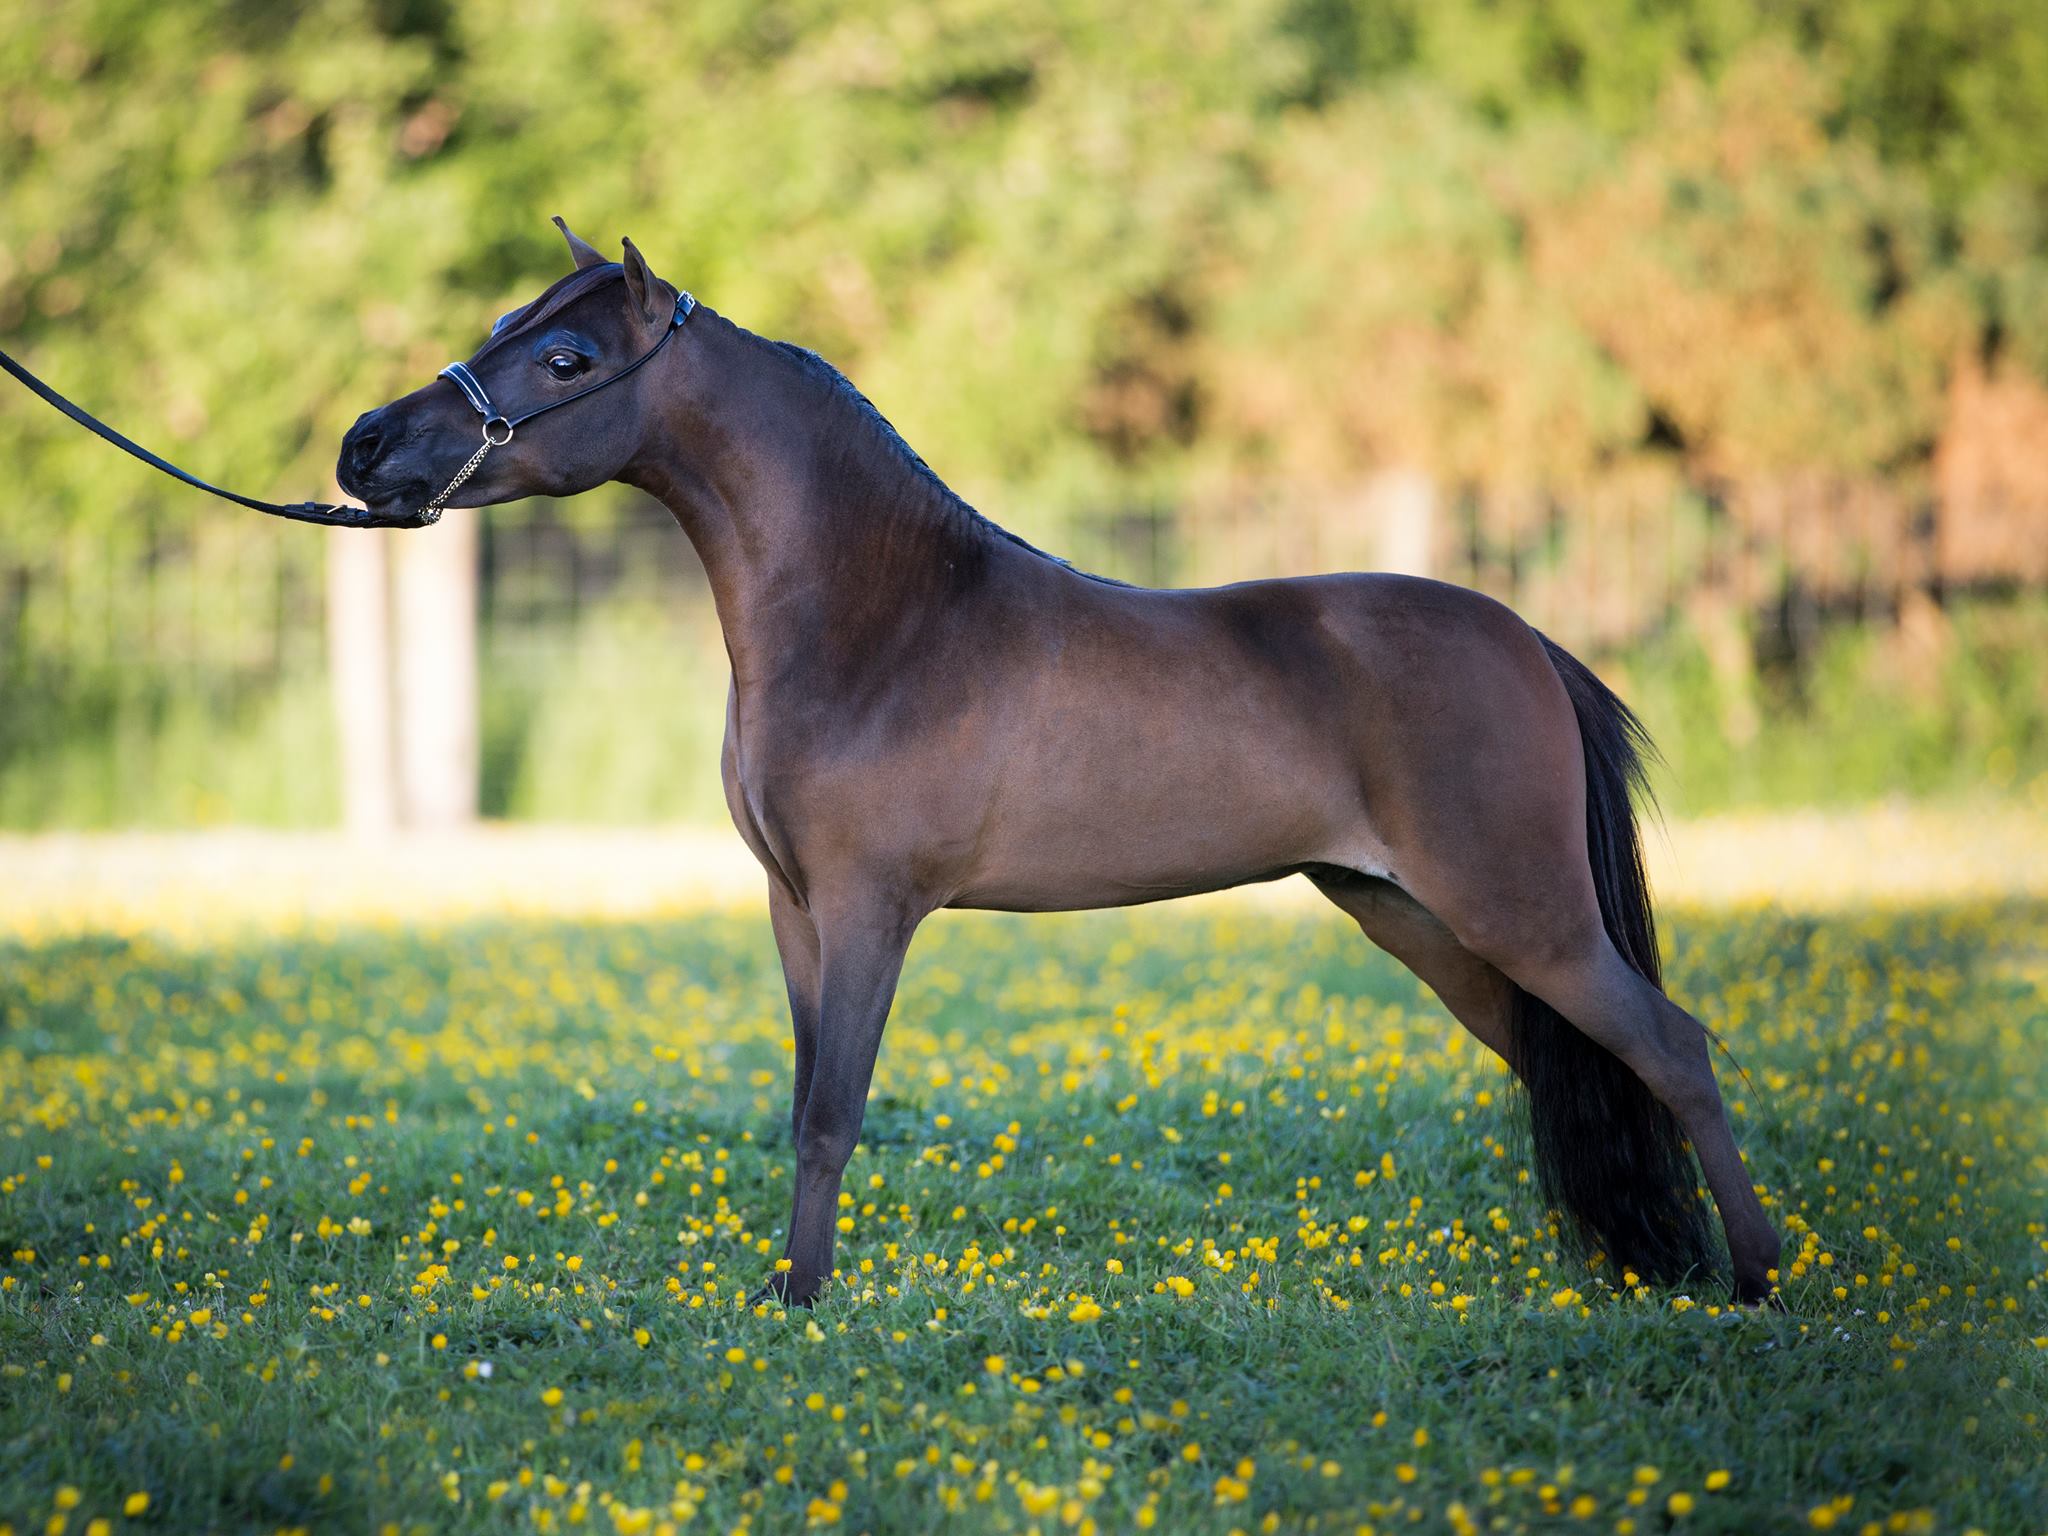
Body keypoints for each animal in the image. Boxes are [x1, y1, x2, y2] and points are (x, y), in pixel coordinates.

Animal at [337, 220, 1782, 1308]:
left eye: (566, 354)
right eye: (502, 321)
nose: (367, 447)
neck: (884, 621)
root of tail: (1525, 639)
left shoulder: (870, 909)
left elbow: (833, 1110)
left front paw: (800, 1308)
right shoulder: (794, 909)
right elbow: (803, 1097)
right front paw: (781, 1290)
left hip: (1516, 912)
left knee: (1671, 1047)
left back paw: (1759, 1280)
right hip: (1417, 919)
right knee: (1565, 1060)